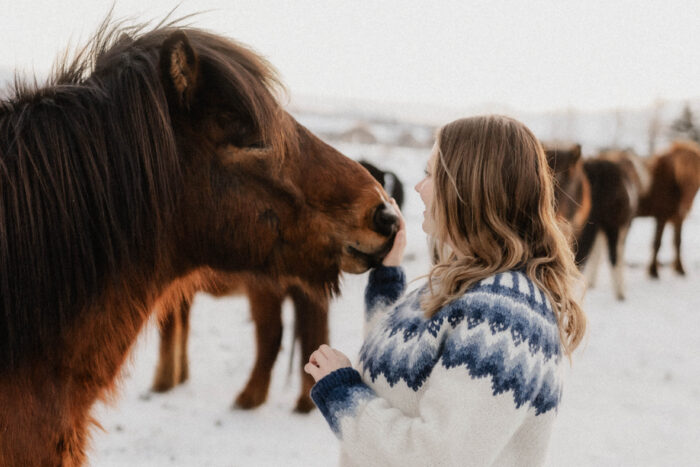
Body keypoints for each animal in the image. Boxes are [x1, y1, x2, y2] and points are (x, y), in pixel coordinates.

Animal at [152, 160, 403, 413]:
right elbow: (181, 325)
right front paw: (180, 376)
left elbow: (169, 328)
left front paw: (163, 382)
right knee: (312, 331)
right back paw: (302, 399)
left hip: (268, 290)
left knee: (274, 333)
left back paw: (251, 397)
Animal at [637, 141, 700, 278]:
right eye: (681, 176)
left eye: (697, 178)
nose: (685, 206)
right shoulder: (661, 215)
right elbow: (657, 242)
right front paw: (653, 271)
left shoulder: (678, 217)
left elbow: (677, 242)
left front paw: (680, 269)